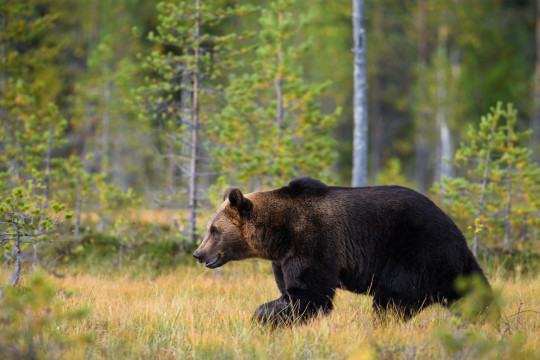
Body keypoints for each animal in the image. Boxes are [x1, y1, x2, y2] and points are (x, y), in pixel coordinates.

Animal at [194, 176, 490, 324]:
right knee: (473, 292)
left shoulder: (312, 241)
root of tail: (457, 231)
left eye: (214, 230)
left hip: (416, 248)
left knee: (394, 296)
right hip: (449, 263)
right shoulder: (281, 258)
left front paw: (263, 316)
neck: (278, 234)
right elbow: (291, 290)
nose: (198, 254)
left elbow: (309, 293)